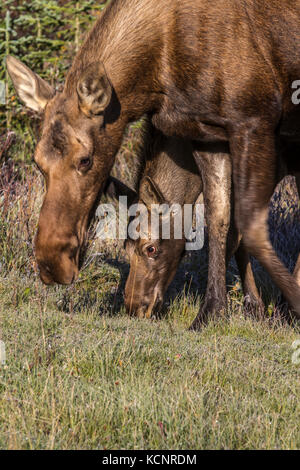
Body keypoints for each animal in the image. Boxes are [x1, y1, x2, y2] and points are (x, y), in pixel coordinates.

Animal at [6, 0, 300, 326]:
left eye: (85, 159)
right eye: (37, 162)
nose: (51, 263)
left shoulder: (253, 121)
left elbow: (252, 227)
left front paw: (285, 305)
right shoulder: (208, 135)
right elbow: (221, 221)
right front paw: (213, 311)